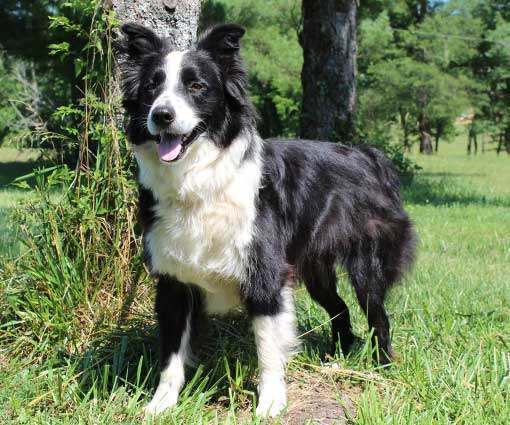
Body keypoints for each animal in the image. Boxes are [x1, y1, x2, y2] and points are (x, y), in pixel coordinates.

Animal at [117, 21, 416, 416]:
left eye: (197, 87)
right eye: (152, 86)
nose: (162, 115)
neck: (199, 179)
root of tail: (368, 155)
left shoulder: (265, 274)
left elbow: (268, 350)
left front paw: (271, 402)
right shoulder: (173, 280)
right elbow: (171, 356)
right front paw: (161, 404)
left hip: (368, 262)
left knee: (376, 313)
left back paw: (381, 366)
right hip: (315, 268)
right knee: (339, 309)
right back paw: (337, 357)